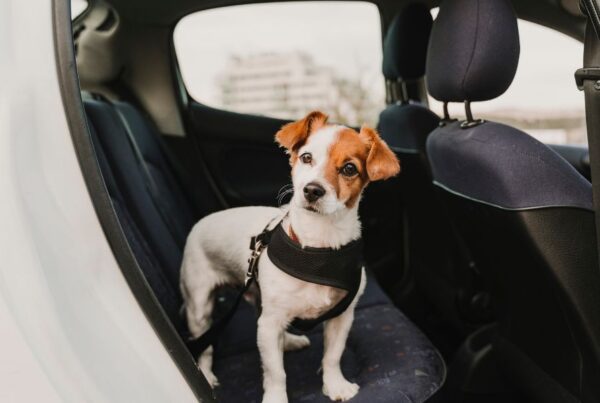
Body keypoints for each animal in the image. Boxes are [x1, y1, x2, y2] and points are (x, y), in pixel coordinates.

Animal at [180, 111, 400, 403]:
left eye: (349, 169)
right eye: (306, 157)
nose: (312, 190)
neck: (317, 248)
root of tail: (200, 223)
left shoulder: (341, 317)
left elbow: (333, 356)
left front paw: (335, 385)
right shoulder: (270, 323)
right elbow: (275, 373)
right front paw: (276, 398)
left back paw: (289, 342)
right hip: (200, 308)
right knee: (204, 347)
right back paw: (206, 374)